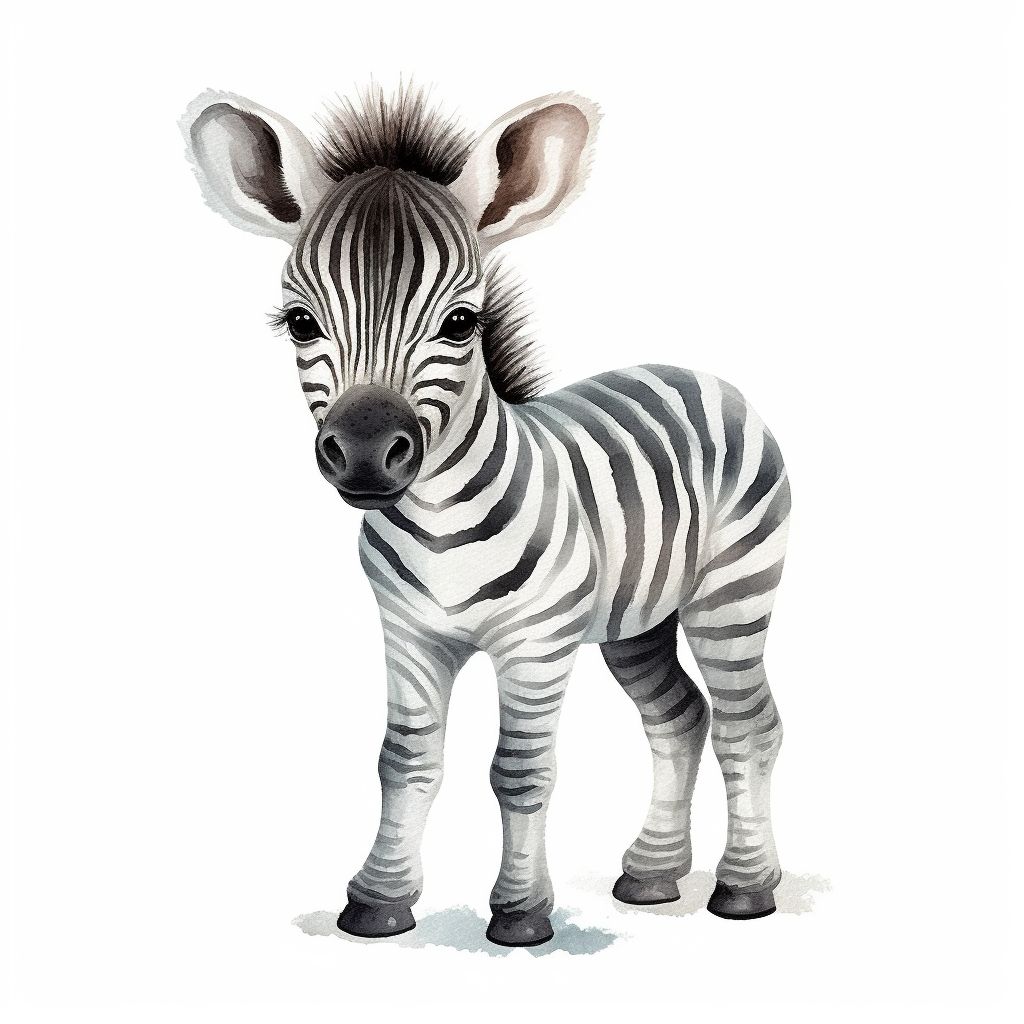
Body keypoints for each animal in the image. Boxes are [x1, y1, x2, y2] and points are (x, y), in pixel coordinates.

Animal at [181, 84, 791, 947]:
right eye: (299, 321)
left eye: (462, 322)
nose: (365, 454)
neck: (441, 534)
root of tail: (698, 372)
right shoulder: (408, 635)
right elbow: (402, 761)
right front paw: (378, 899)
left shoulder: (536, 645)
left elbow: (519, 771)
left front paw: (521, 913)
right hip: (637, 617)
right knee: (678, 718)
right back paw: (651, 872)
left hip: (732, 594)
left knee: (748, 725)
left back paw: (744, 886)